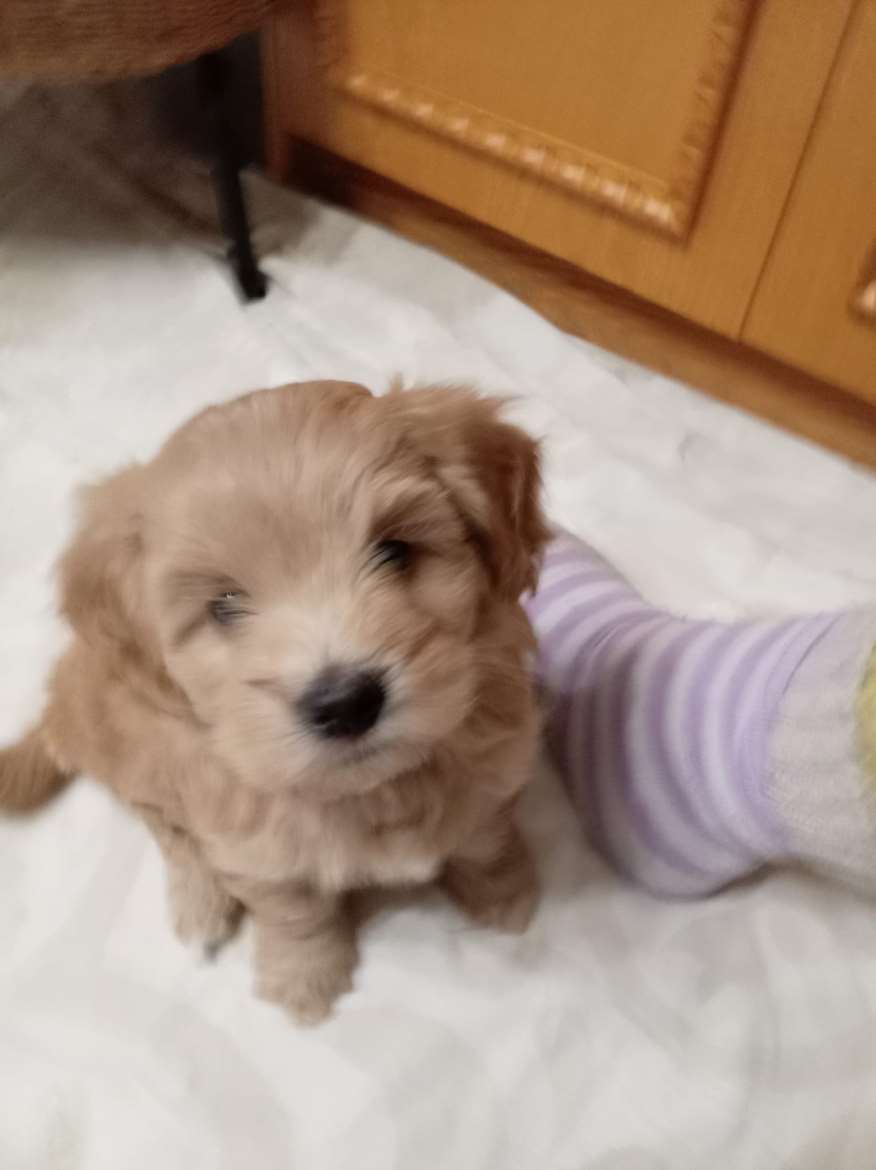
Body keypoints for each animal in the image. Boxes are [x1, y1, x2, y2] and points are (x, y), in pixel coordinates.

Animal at [0, 380, 549, 1022]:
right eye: (224, 605)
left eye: (395, 551)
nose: (346, 703)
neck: (372, 791)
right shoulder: (251, 846)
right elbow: (294, 911)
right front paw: (304, 981)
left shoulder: (493, 770)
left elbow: (484, 841)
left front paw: (506, 893)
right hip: (130, 750)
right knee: (167, 828)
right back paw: (202, 902)